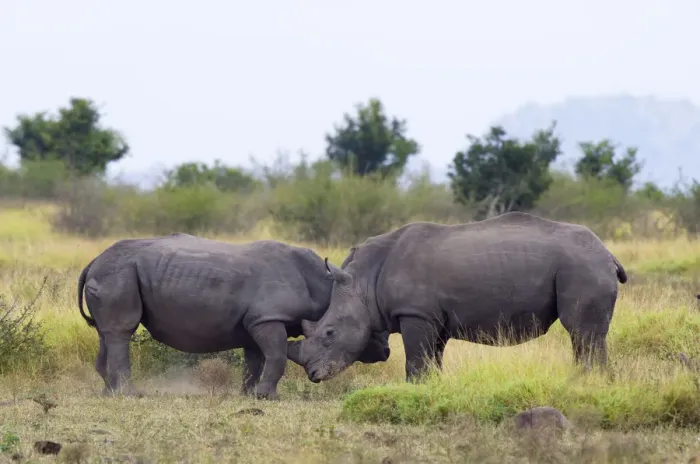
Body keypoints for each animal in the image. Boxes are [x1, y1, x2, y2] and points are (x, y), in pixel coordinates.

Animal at [77, 233, 390, 400]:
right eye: (373, 332)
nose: (386, 352)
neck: (326, 287)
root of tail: (93, 261)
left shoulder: (255, 321)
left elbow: (255, 360)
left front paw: (250, 395)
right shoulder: (268, 317)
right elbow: (276, 355)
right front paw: (269, 397)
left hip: (113, 275)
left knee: (107, 333)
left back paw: (109, 393)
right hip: (118, 274)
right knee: (121, 331)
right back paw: (131, 394)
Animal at [287, 212, 628, 383]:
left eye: (329, 332)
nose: (313, 375)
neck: (363, 281)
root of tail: (608, 253)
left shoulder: (416, 313)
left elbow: (416, 359)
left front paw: (414, 389)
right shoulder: (432, 317)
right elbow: (432, 358)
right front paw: (433, 388)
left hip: (582, 266)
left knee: (582, 333)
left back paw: (589, 382)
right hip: (584, 264)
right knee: (584, 337)